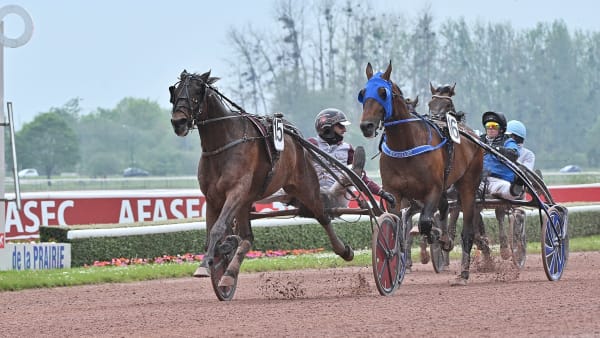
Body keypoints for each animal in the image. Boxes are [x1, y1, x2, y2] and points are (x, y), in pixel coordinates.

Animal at [169, 70, 354, 298]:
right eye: (175, 91)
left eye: (197, 91)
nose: (178, 122)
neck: (223, 144)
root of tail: (296, 138)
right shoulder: (213, 198)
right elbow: (214, 232)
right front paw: (219, 253)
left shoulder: (236, 192)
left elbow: (217, 229)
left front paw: (205, 264)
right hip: (247, 201)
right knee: (248, 238)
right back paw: (228, 277)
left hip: (305, 186)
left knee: (323, 217)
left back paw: (344, 250)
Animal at [356, 62, 482, 284]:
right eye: (362, 93)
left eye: (382, 92)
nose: (366, 126)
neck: (406, 145)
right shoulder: (394, 193)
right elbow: (398, 226)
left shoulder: (432, 189)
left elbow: (425, 223)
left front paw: (437, 236)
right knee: (443, 207)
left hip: (468, 183)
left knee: (466, 228)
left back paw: (463, 272)